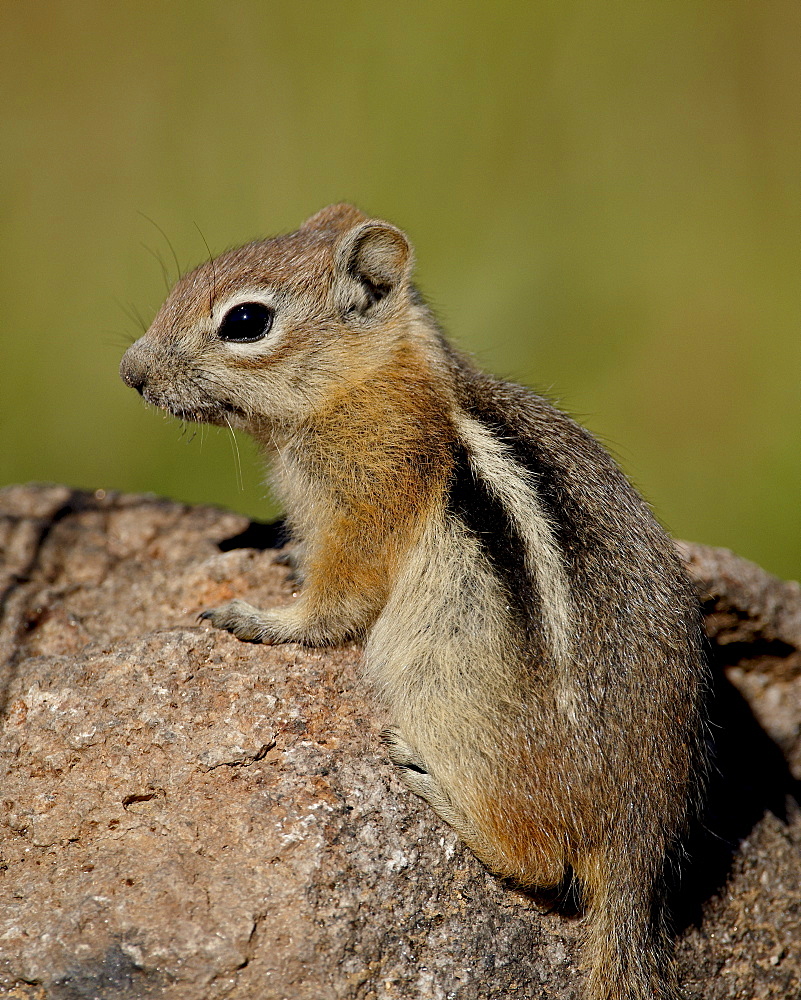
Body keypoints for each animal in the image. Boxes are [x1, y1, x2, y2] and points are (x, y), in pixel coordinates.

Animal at [120, 205, 708, 1000]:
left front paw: (260, 619)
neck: (369, 380)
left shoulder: (365, 503)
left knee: (540, 861)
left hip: (449, 695)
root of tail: (638, 837)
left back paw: (439, 792)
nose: (131, 371)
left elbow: (336, 601)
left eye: (245, 321)